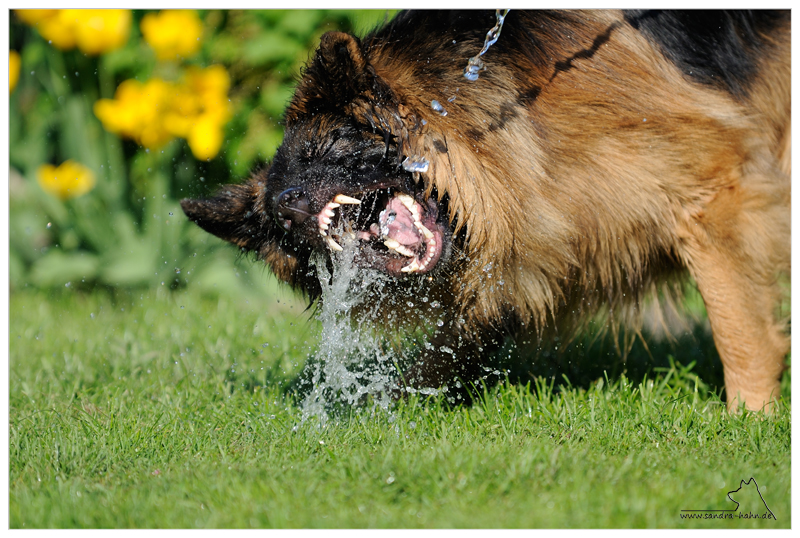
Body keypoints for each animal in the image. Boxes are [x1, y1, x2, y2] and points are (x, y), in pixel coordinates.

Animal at [180, 9, 788, 410]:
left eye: (319, 151)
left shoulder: (712, 191)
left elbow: (738, 327)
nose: (289, 206)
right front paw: (386, 405)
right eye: (281, 225)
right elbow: (453, 345)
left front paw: (749, 420)